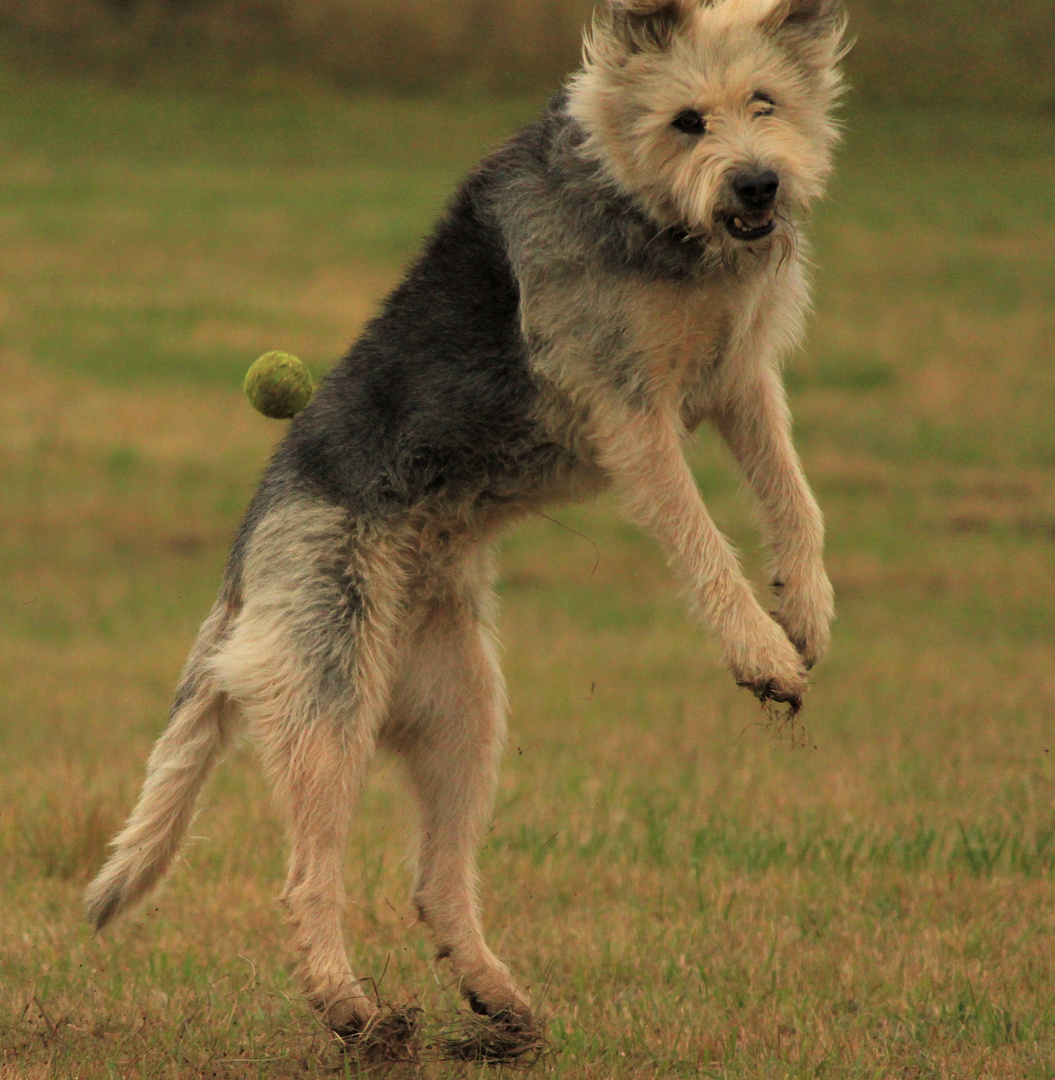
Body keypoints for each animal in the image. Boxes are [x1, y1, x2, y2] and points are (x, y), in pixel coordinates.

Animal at [86, 0, 842, 1062]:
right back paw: (354, 1012)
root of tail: (240, 575)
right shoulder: (632, 418)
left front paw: (803, 609)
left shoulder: (740, 383)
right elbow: (700, 542)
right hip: (329, 700)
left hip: (463, 715)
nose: (757, 182)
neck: (645, 211)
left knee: (434, 882)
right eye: (687, 121)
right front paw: (761, 651)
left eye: (764, 103)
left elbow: (793, 496)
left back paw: (497, 1001)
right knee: (307, 878)